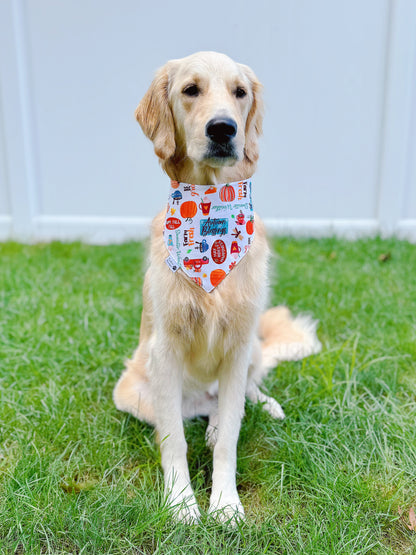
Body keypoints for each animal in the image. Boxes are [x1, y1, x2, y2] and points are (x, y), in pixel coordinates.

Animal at [112, 52, 320, 524]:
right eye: (191, 90)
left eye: (240, 92)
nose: (223, 128)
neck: (211, 213)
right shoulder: (165, 350)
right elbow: (173, 439)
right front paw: (182, 502)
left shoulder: (239, 344)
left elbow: (229, 441)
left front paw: (224, 503)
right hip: (130, 389)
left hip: (252, 349)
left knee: (242, 396)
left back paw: (256, 409)